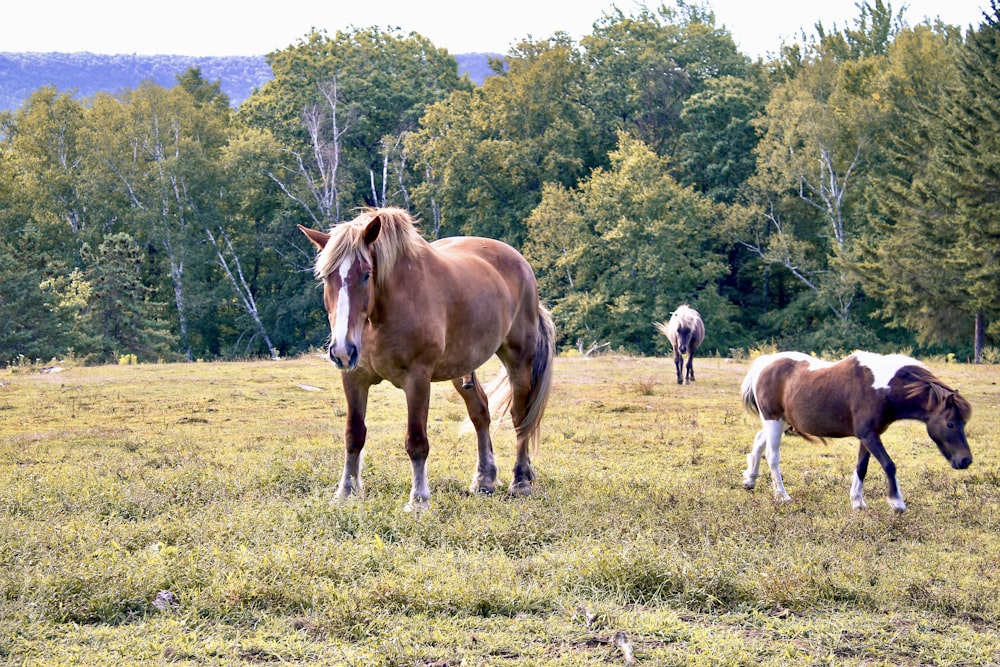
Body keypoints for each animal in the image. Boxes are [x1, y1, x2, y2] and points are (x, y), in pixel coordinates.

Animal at [300, 209, 560, 512]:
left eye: (366, 275)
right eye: (327, 277)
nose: (342, 349)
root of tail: (521, 264)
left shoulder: (417, 379)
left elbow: (416, 442)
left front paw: (419, 499)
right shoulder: (354, 377)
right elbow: (354, 435)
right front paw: (346, 492)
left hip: (519, 359)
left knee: (520, 416)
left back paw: (520, 481)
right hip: (462, 367)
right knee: (480, 413)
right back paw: (484, 479)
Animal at [744, 352, 968, 516]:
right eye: (950, 423)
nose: (965, 460)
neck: (881, 388)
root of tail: (765, 364)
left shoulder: (867, 436)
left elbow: (862, 467)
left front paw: (857, 502)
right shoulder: (869, 435)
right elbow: (889, 465)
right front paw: (897, 503)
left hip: (782, 421)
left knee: (759, 441)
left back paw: (750, 480)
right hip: (774, 420)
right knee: (772, 456)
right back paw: (782, 495)